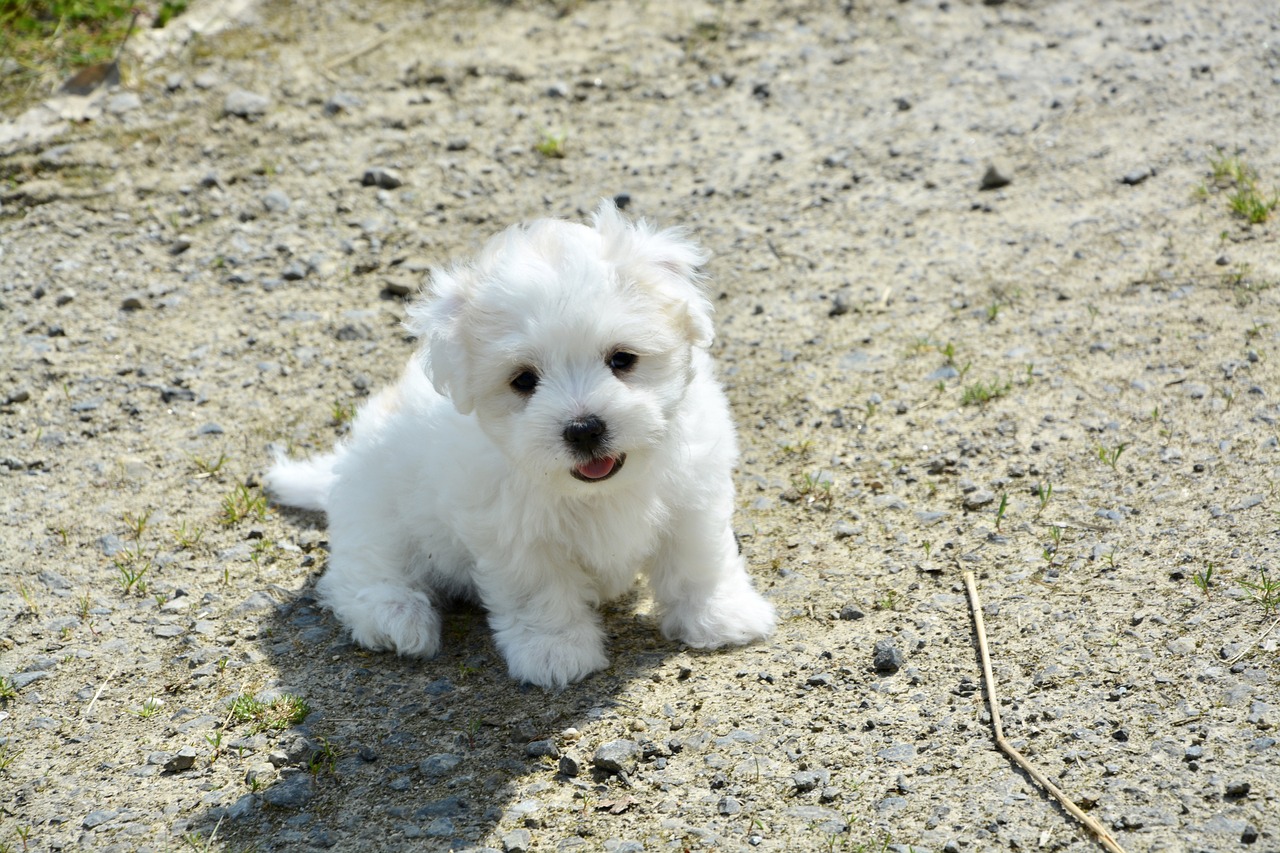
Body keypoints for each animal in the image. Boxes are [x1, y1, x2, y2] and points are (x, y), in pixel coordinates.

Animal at [264, 202, 773, 686]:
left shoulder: (692, 494)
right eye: (524, 380)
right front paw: (555, 652)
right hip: (376, 512)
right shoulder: (512, 533)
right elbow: (539, 592)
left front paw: (719, 615)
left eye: (622, 359)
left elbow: (697, 560)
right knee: (361, 571)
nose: (584, 428)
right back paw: (396, 617)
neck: (596, 491)